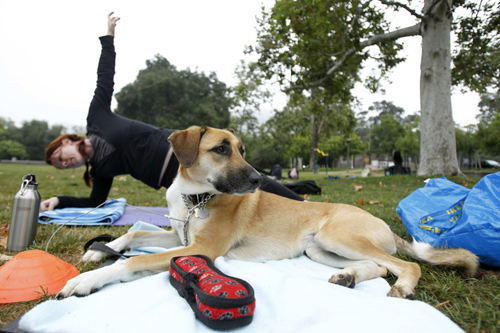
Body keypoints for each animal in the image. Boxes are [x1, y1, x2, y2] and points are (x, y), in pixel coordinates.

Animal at [57, 126, 476, 300]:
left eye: (242, 150)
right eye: (221, 149)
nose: (259, 179)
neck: (196, 200)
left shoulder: (199, 250)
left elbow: (132, 262)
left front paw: (87, 280)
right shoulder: (179, 235)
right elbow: (134, 234)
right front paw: (99, 251)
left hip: (336, 235)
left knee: (405, 265)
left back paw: (403, 286)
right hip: (319, 249)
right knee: (377, 265)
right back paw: (349, 278)